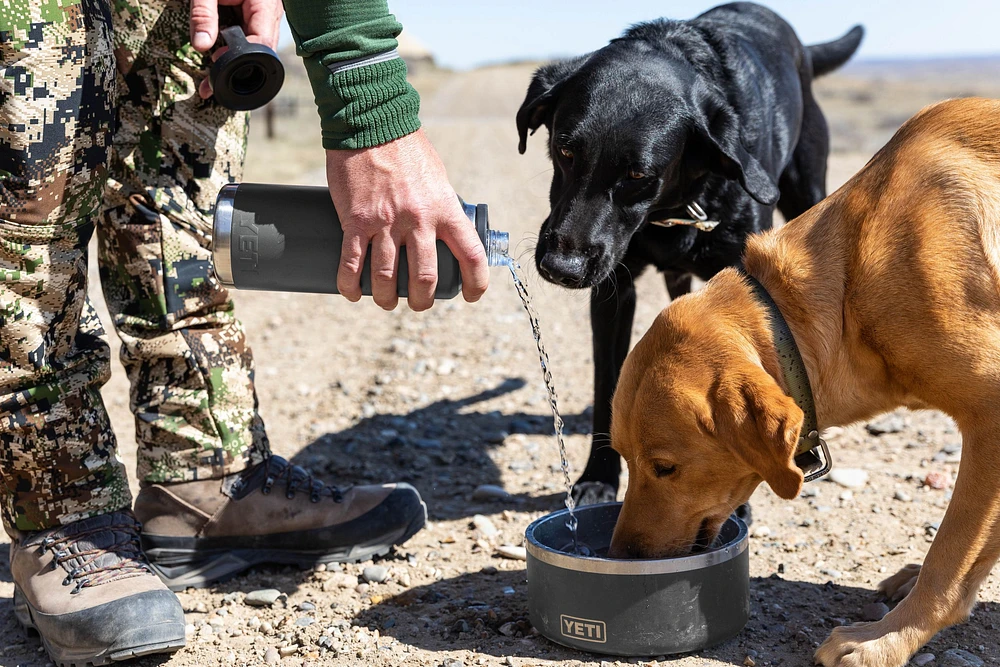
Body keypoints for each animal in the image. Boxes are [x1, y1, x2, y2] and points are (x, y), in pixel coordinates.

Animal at [520, 1, 864, 506]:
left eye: (639, 175)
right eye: (564, 149)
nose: (561, 268)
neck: (673, 208)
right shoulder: (613, 292)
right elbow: (607, 384)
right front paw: (597, 477)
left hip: (807, 186)